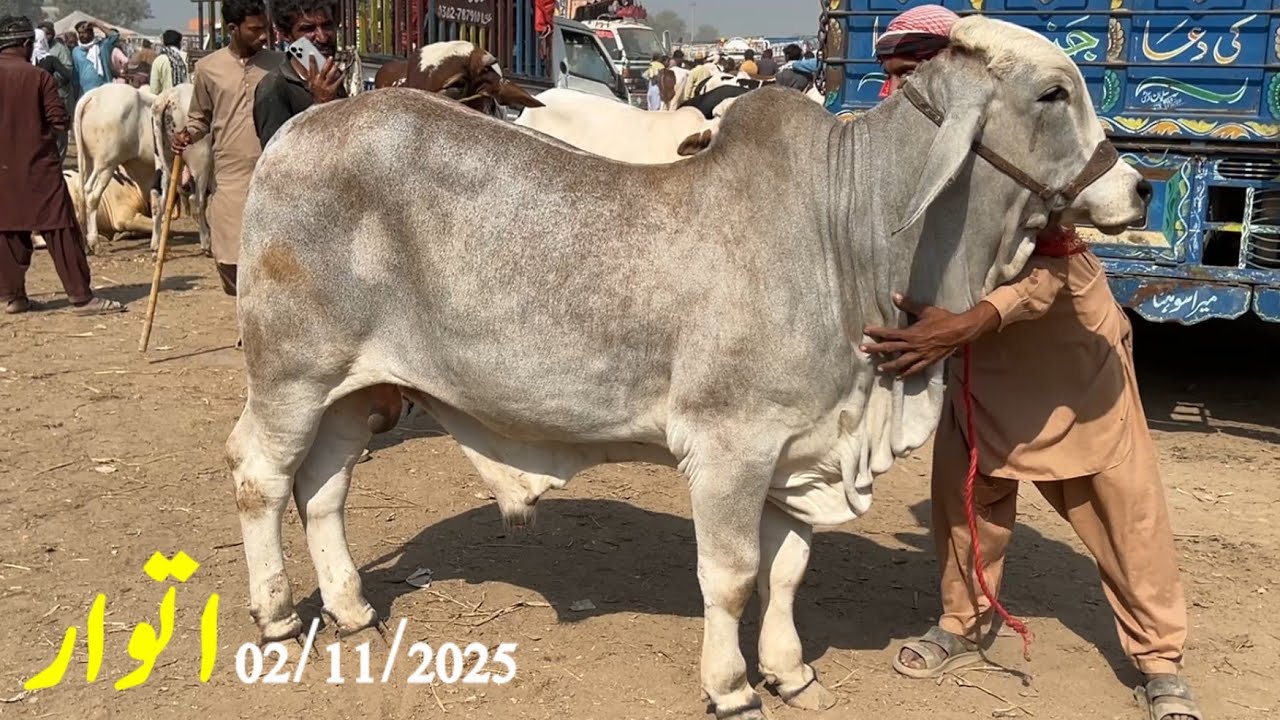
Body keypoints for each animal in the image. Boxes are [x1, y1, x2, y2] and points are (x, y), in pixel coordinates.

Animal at [74, 83, 157, 255]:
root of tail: (94, 95)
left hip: (88, 159)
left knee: (82, 191)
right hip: (106, 163)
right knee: (92, 194)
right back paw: (95, 242)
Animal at [151, 83, 213, 255]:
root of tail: (168, 96)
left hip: (164, 163)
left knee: (159, 202)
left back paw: (156, 244)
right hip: (201, 163)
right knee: (197, 202)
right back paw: (206, 243)